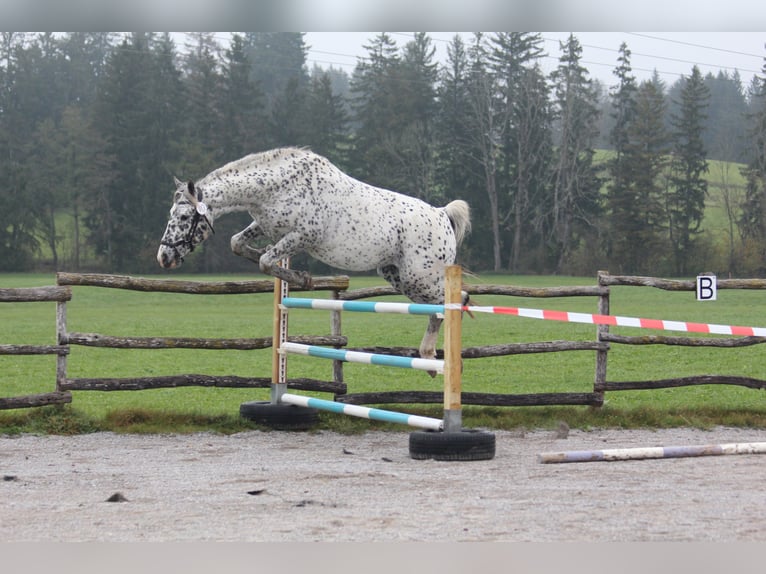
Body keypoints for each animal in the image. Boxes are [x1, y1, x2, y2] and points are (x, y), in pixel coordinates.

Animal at [158, 146, 472, 366]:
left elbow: (265, 262)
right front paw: (284, 267)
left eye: (184, 217)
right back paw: (429, 357)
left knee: (455, 301)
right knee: (440, 307)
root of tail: (442, 215)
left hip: (420, 276)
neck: (278, 185)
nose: (164, 257)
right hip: (397, 276)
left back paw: (432, 357)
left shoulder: (302, 236)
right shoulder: (267, 226)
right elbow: (239, 244)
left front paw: (301, 278)